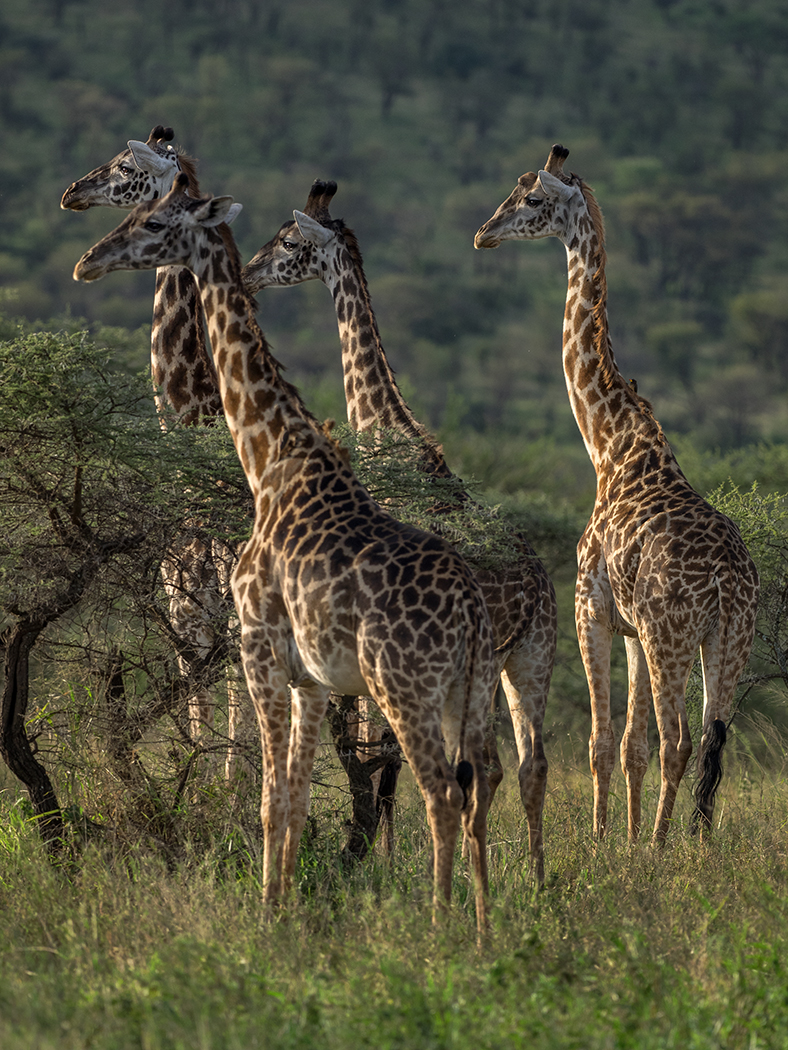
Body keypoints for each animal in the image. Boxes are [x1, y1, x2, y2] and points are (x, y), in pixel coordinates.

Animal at [70, 176, 495, 932]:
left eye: (153, 221)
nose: (88, 261)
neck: (270, 456)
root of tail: (475, 613)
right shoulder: (311, 679)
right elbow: (293, 798)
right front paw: (288, 905)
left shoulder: (260, 646)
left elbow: (269, 797)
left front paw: (267, 916)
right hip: (466, 695)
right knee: (476, 797)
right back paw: (481, 929)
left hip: (402, 686)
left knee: (442, 796)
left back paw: (438, 929)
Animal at [243, 180, 558, 877]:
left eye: (290, 240)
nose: (248, 273)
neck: (385, 428)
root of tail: (532, 593)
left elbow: (376, 757)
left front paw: (377, 859)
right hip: (526, 658)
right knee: (525, 766)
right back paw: (536, 880)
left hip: (472, 668)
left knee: (471, 769)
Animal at [472, 143, 760, 839]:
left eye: (531, 199)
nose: (483, 234)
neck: (609, 443)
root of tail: (729, 585)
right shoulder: (629, 627)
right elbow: (631, 747)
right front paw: (623, 842)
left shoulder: (592, 608)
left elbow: (604, 742)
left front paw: (607, 844)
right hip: (726, 641)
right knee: (712, 742)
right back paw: (693, 844)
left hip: (671, 635)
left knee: (680, 739)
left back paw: (661, 847)